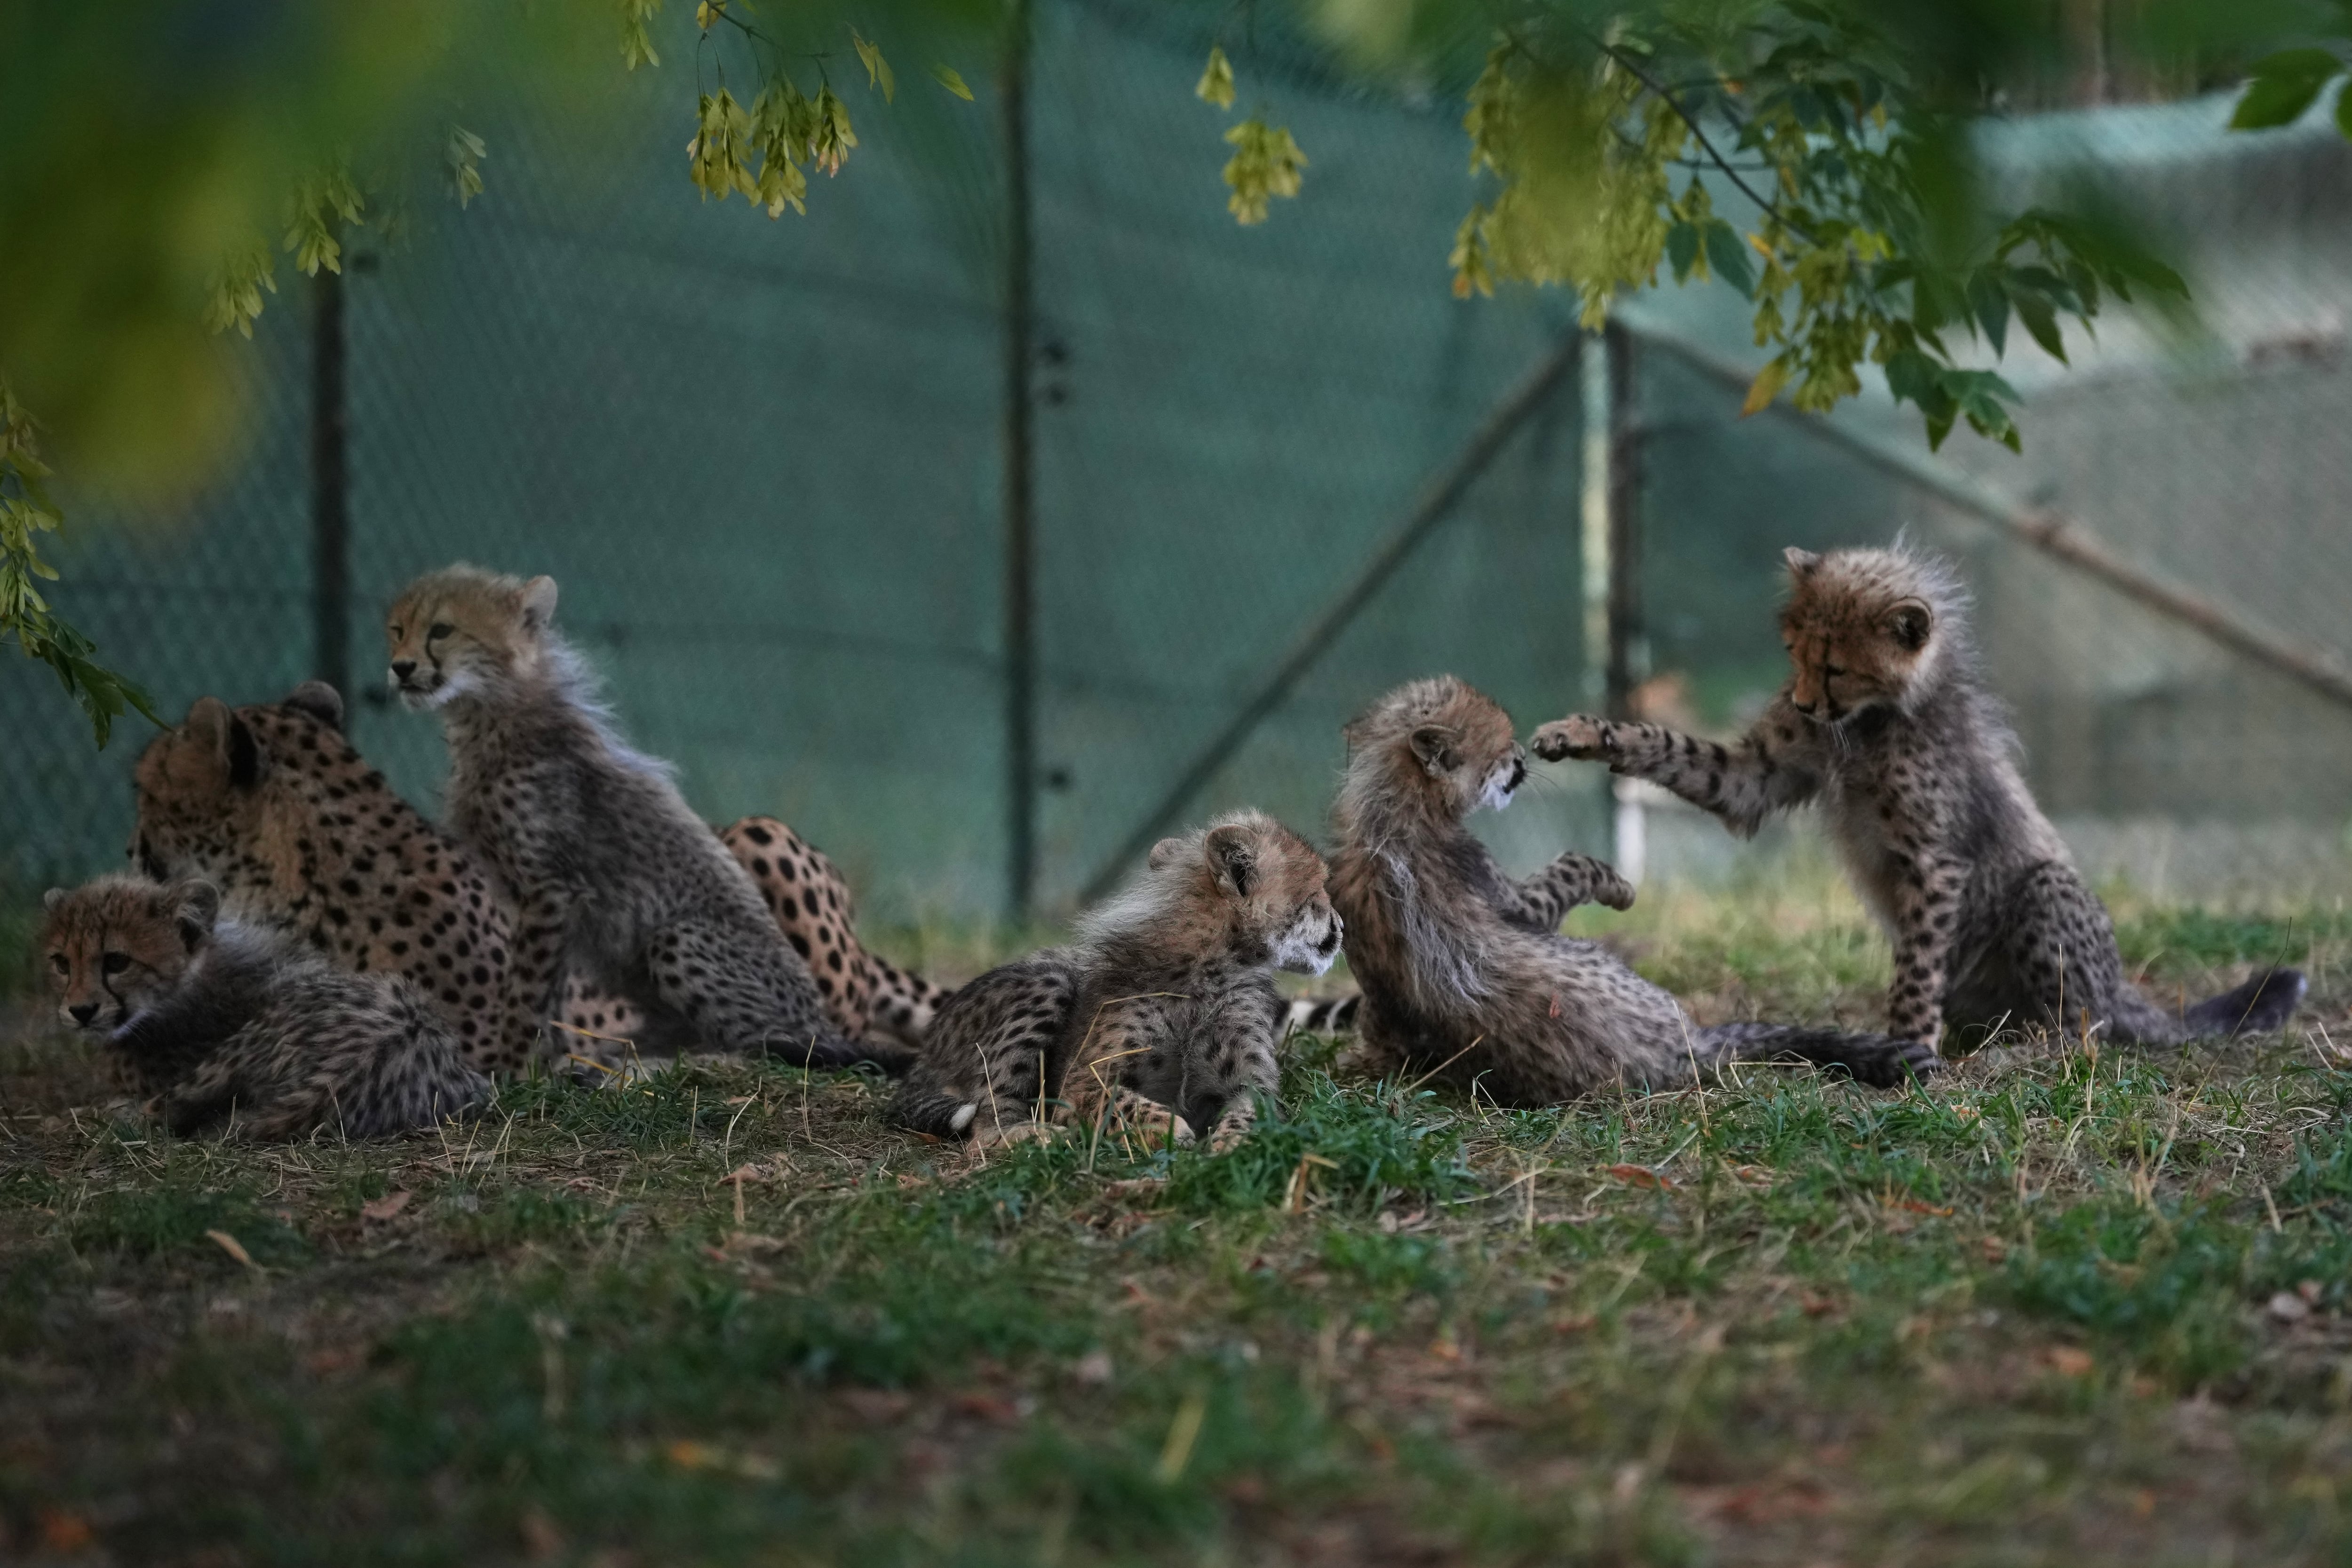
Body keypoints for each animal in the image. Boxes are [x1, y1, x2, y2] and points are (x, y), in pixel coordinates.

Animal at [385, 563, 888, 1071]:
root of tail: (820, 1020)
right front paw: (540, 1065)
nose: (400, 667)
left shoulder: (551, 887)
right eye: (397, 630)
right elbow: (546, 990)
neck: (492, 713)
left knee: (762, 1046)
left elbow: (525, 991)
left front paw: (506, 1068)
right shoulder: (545, 900)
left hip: (680, 938)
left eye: (442, 630)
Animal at [890, 809, 1343, 1153]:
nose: (1341, 925)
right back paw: (1036, 1136)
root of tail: (927, 1047)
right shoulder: (1080, 1084)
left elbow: (1252, 1112)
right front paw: (1171, 1129)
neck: (1211, 968)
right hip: (1048, 981)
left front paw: (1235, 1144)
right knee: (984, 1133)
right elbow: (1118, 1101)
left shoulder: (1251, 1085)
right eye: (1320, 891)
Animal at [1330, 675, 1938, 1104]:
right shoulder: (1516, 902)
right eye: (1501, 749)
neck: (1386, 805)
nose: (1521, 759)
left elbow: (1380, 1030)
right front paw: (1618, 887)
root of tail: (1692, 1044)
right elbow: (1571, 865)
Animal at [1532, 544, 2306, 1052]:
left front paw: (1905, 1053)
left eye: (1836, 667)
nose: (1804, 704)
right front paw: (1580, 732)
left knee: (2083, 1029)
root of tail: (2121, 986)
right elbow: (1671, 748)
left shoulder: (1935, 860)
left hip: (2048, 896)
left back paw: (2019, 1056)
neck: (1869, 722)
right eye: (1796, 653)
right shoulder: (1760, 773)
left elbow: (1919, 962)